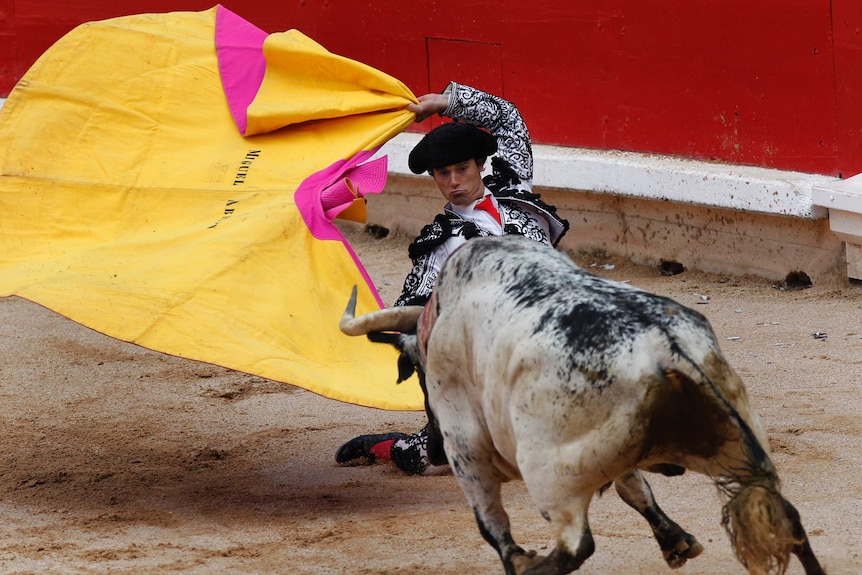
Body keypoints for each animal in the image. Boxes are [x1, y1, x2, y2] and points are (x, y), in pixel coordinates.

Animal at [340, 235, 828, 575]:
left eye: (422, 380)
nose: (435, 451)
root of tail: (663, 345)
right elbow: (635, 489)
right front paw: (676, 542)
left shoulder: (466, 445)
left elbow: (491, 523)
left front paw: (518, 559)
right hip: (733, 437)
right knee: (786, 516)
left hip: (547, 472)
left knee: (576, 544)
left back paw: (531, 568)